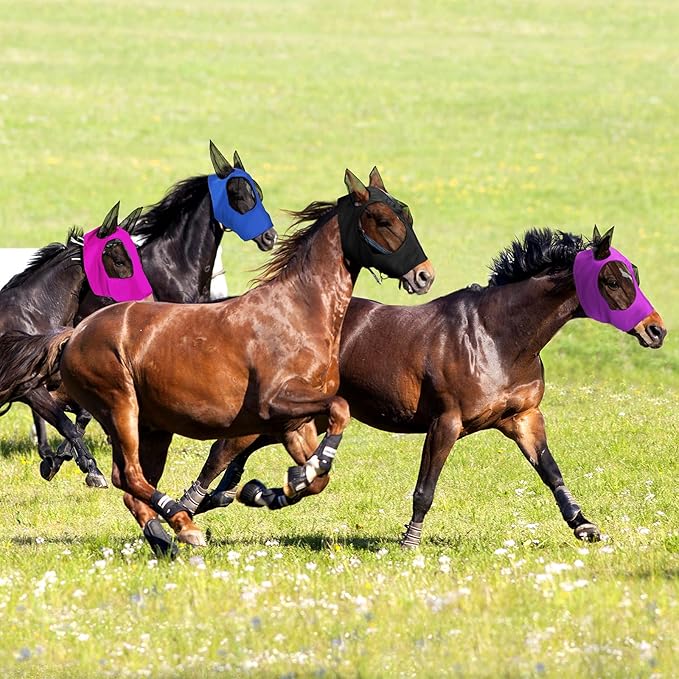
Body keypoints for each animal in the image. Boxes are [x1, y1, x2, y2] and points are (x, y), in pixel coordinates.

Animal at [0, 203, 140, 485]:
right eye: (119, 261)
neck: (34, 314)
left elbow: (81, 416)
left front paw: (58, 460)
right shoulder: (31, 390)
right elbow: (65, 423)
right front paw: (90, 468)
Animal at [185, 226, 666, 547]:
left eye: (636, 274)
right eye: (612, 279)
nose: (656, 331)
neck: (499, 338)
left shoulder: (524, 418)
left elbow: (551, 472)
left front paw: (584, 525)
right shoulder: (445, 422)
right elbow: (425, 488)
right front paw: (409, 542)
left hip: (300, 418)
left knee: (242, 462)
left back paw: (246, 495)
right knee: (222, 453)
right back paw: (191, 510)